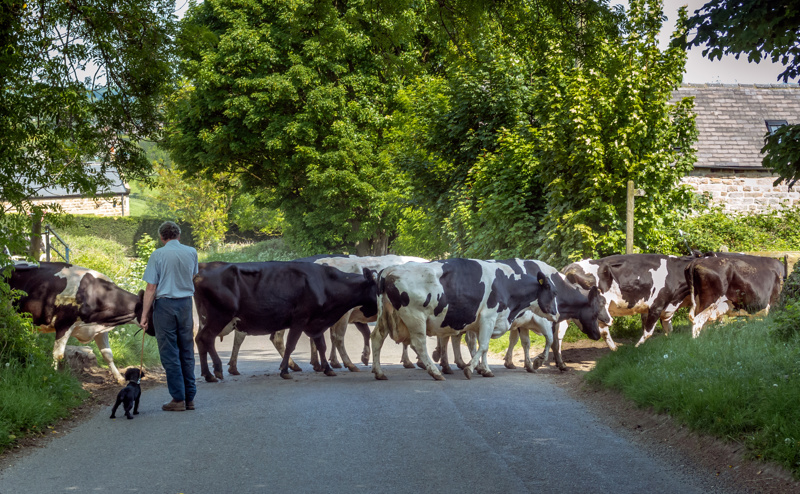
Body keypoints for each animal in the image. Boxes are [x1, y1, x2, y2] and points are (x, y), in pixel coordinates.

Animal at [5, 261, 144, 383]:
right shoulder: (64, 324)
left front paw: (119, 377)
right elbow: (58, 354)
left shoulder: (100, 328)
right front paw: (52, 374)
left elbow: (107, 354)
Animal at [193, 261, 377, 381]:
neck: (325, 284)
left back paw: (208, 374)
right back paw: (217, 369)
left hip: (207, 319)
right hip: (219, 316)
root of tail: (200, 274)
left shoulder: (315, 322)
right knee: (206, 338)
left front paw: (327, 368)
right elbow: (291, 344)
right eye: (378, 288)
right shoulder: (300, 319)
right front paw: (284, 370)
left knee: (199, 339)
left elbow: (321, 345)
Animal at [370, 258, 558, 381]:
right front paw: (470, 369)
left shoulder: (480, 323)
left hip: (386, 316)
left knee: (377, 338)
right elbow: (483, 346)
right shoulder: (489, 317)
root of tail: (390, 270)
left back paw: (379, 372)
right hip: (415, 318)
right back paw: (435, 372)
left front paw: (484, 369)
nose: (556, 313)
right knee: (419, 344)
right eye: (553, 292)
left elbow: (479, 347)